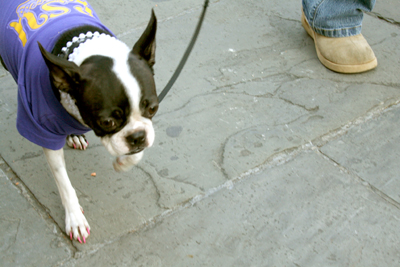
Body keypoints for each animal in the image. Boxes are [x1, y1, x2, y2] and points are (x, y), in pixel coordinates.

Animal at [0, 1, 159, 245]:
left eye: (153, 108)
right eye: (107, 121)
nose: (137, 138)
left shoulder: (141, 128)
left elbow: (137, 146)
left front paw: (124, 162)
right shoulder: (43, 129)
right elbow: (64, 184)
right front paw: (75, 219)